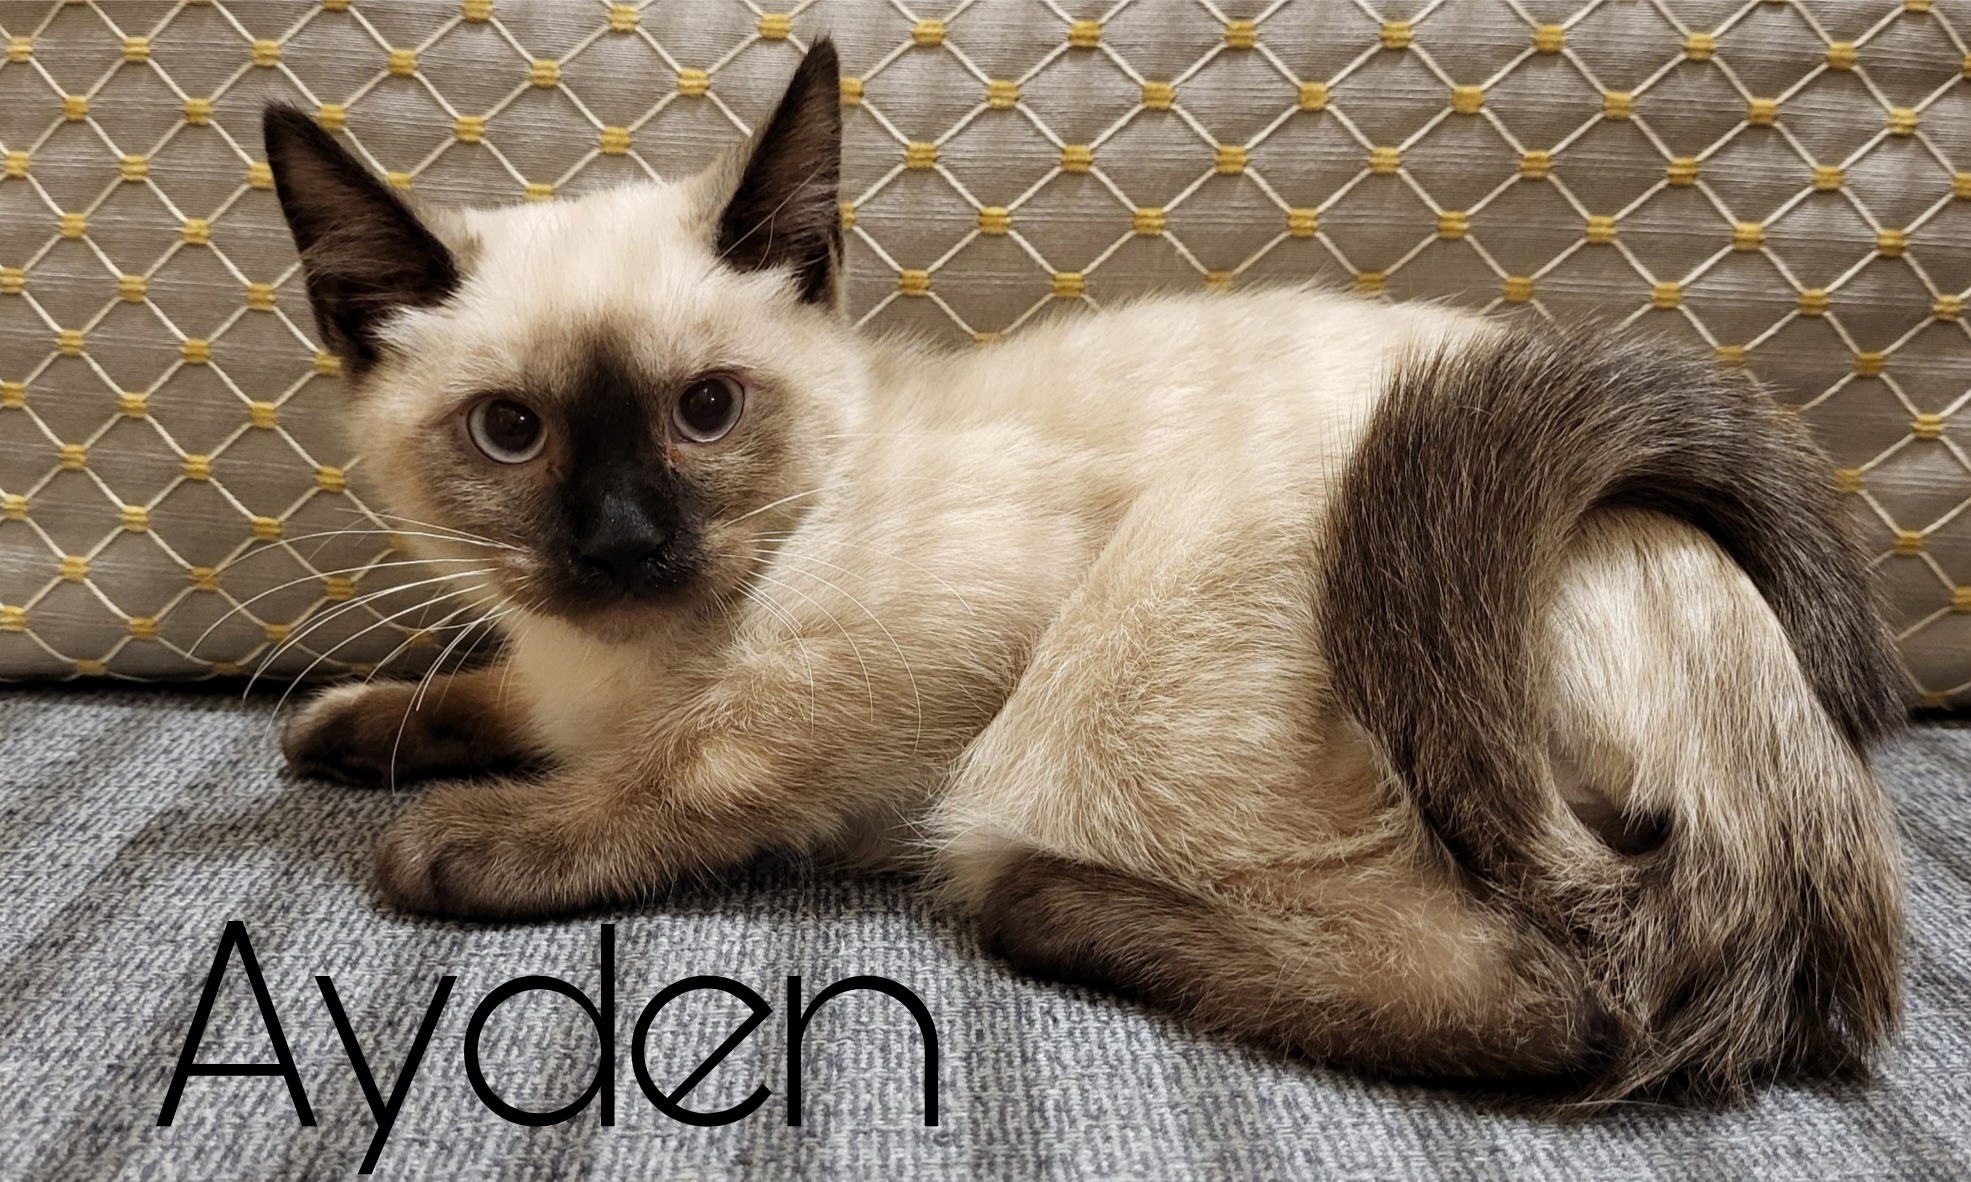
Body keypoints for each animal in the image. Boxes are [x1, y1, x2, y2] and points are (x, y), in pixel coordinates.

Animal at [261, 38, 1905, 1104]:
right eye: (512, 431)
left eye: (705, 411)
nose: (620, 541)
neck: (628, 656)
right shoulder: (553, 670)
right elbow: (488, 695)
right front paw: (341, 727)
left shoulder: (898, 667)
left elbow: (701, 760)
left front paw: (462, 841)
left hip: (1099, 692)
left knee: (1549, 998)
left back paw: (1047, 905)